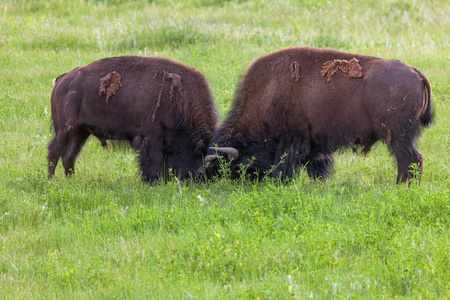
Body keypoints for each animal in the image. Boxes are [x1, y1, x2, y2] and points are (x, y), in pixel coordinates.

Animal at [48, 56, 218, 182]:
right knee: (54, 151)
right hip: (64, 129)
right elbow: (153, 160)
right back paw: (50, 180)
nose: (203, 179)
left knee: (69, 155)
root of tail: (63, 78)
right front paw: (152, 181)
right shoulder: (151, 137)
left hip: (81, 131)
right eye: (198, 155)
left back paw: (70, 180)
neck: (181, 102)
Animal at [206, 46, 434, 183]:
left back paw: (402, 186)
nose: (245, 183)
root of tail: (416, 73)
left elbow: (285, 164)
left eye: (238, 164)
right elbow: (317, 163)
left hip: (398, 136)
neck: (268, 90)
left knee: (411, 159)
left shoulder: (291, 140)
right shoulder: (313, 143)